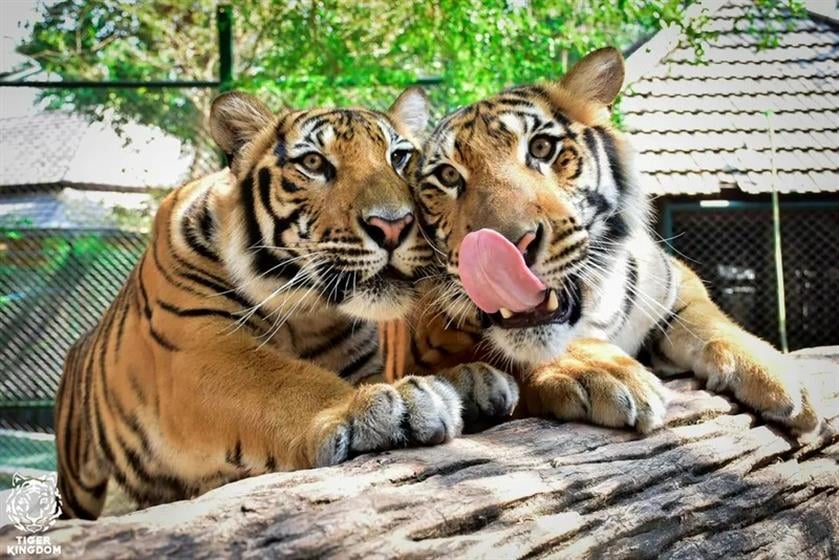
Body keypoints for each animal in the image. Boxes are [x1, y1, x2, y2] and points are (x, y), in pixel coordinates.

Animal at [55, 88, 518, 520]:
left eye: (400, 157)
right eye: (313, 163)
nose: (393, 225)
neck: (309, 314)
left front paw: (472, 380)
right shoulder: (196, 351)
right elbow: (285, 382)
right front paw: (390, 404)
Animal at [406, 47, 825, 436]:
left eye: (541, 148)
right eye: (448, 176)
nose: (504, 252)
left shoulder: (675, 282)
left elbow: (709, 321)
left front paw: (781, 376)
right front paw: (605, 370)